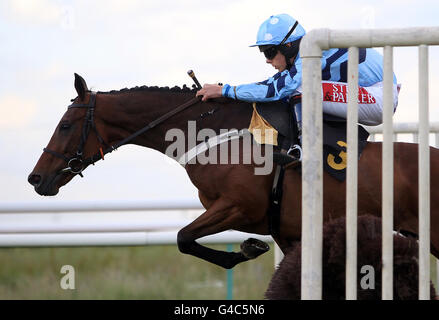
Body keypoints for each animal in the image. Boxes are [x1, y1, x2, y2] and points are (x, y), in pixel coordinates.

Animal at [28, 74, 439, 270]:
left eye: (65, 125)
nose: (36, 178)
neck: (211, 132)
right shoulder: (287, 231)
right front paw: (249, 248)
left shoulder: (239, 207)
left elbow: (182, 237)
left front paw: (247, 249)